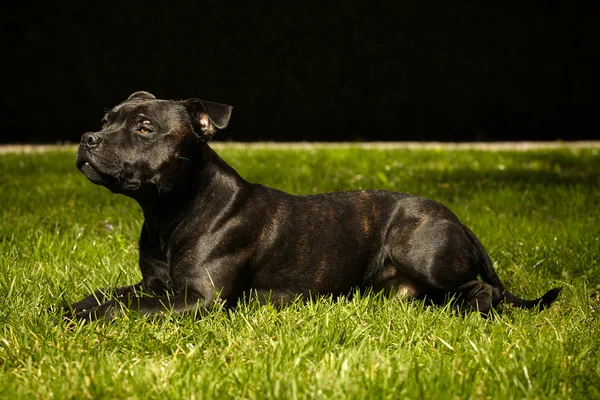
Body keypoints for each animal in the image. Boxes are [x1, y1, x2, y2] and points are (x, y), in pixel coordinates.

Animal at [70, 91, 564, 322]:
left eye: (145, 128)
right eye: (105, 120)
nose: (87, 138)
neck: (169, 212)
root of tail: (455, 218)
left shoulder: (200, 299)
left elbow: (122, 308)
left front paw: (86, 318)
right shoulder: (156, 285)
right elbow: (107, 295)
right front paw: (71, 308)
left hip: (420, 249)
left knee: (483, 291)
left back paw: (469, 311)